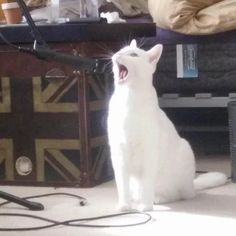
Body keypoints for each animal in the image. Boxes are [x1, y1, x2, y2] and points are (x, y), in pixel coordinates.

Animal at [108, 39, 228, 211]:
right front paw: (124, 206)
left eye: (133, 55)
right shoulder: (118, 153)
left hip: (185, 149)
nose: (116, 55)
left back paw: (157, 198)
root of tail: (192, 186)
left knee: (178, 195)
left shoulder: (149, 152)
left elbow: (146, 183)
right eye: (120, 50)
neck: (128, 97)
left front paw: (145, 207)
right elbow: (122, 184)